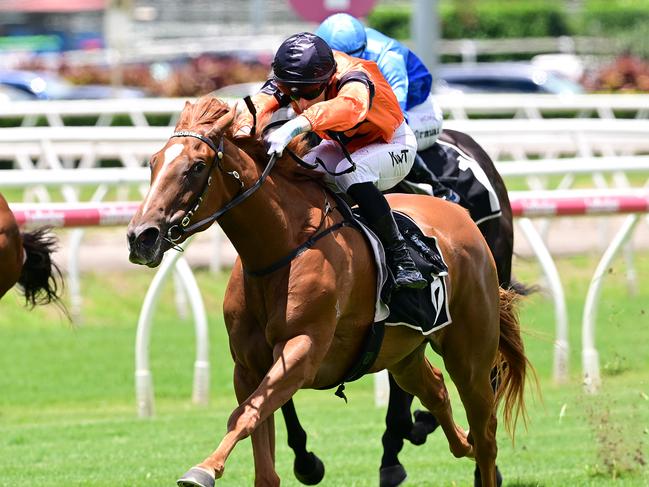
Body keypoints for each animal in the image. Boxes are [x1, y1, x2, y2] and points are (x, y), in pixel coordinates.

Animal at [128, 97, 532, 487]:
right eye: (153, 162)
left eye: (196, 167)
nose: (141, 236)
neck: (282, 248)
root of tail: (462, 219)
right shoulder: (248, 366)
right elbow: (259, 443)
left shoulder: (303, 351)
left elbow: (244, 415)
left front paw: (204, 469)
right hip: (403, 353)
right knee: (436, 391)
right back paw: (450, 440)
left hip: (469, 353)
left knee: (486, 431)